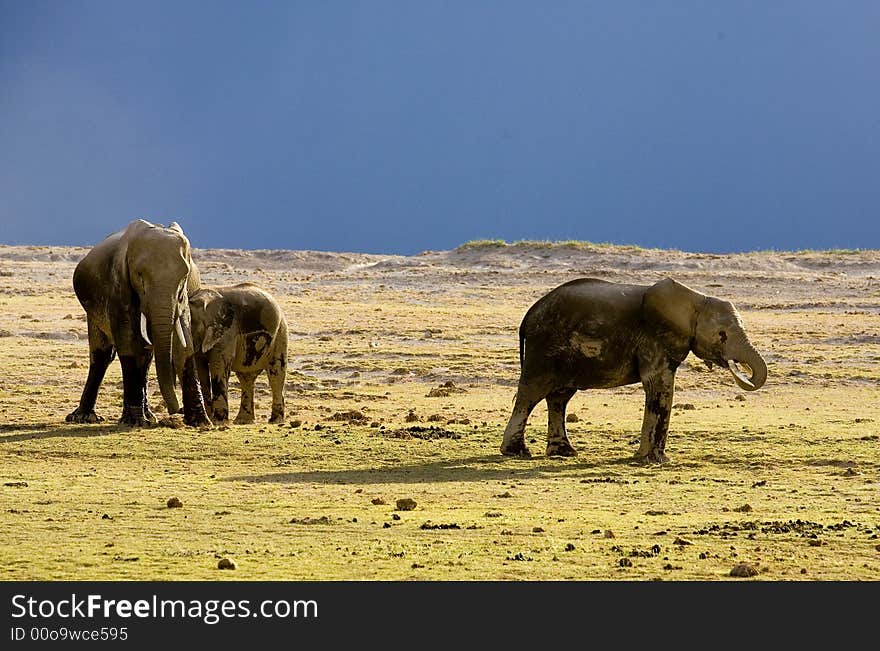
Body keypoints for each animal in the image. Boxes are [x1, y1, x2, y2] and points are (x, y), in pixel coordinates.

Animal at [64, 219, 212, 428]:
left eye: (185, 276)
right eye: (140, 275)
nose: (176, 410)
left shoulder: (183, 297)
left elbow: (184, 345)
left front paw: (201, 422)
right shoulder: (118, 288)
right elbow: (128, 344)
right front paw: (134, 422)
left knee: (146, 356)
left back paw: (149, 416)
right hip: (93, 311)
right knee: (102, 355)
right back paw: (84, 418)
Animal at [189, 282, 288, 426]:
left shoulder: (228, 332)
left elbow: (219, 366)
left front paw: (218, 421)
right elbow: (200, 368)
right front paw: (209, 420)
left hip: (281, 333)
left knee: (276, 374)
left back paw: (275, 421)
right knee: (246, 377)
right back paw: (243, 421)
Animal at [498, 278, 768, 464]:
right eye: (722, 335)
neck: (696, 299)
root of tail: (529, 314)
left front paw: (650, 458)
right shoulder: (653, 339)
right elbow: (658, 385)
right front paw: (654, 460)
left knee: (559, 397)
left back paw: (564, 453)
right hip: (544, 346)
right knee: (532, 393)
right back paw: (517, 453)